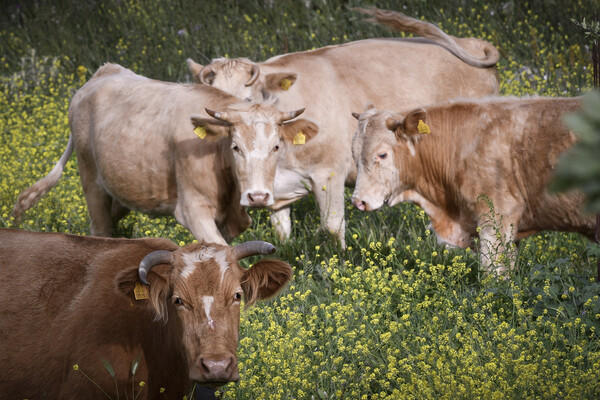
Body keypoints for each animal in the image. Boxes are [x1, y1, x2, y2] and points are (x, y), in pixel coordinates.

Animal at [11, 63, 316, 244]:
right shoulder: (192, 210)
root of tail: (104, 71)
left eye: (276, 146)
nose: (258, 197)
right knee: (100, 228)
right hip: (90, 181)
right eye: (236, 147)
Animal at [186, 7, 502, 245]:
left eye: (248, 99)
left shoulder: (329, 174)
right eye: (211, 104)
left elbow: (332, 227)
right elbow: (281, 231)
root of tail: (472, 42)